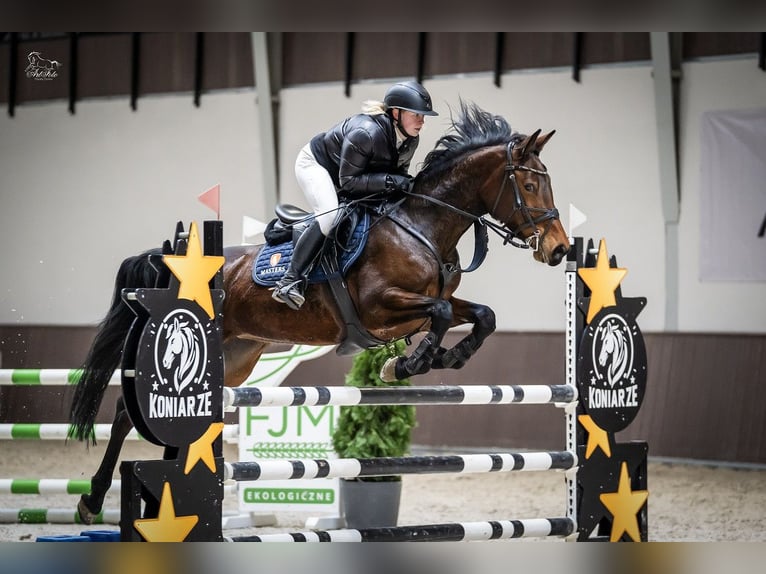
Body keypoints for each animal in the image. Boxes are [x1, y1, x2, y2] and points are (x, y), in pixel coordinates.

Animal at [68, 101, 570, 523]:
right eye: (529, 184)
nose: (560, 250)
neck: (422, 226)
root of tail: (173, 260)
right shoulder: (379, 309)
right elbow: (443, 311)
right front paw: (406, 363)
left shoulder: (427, 304)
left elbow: (481, 315)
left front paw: (441, 357)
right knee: (126, 412)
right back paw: (92, 500)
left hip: (234, 357)